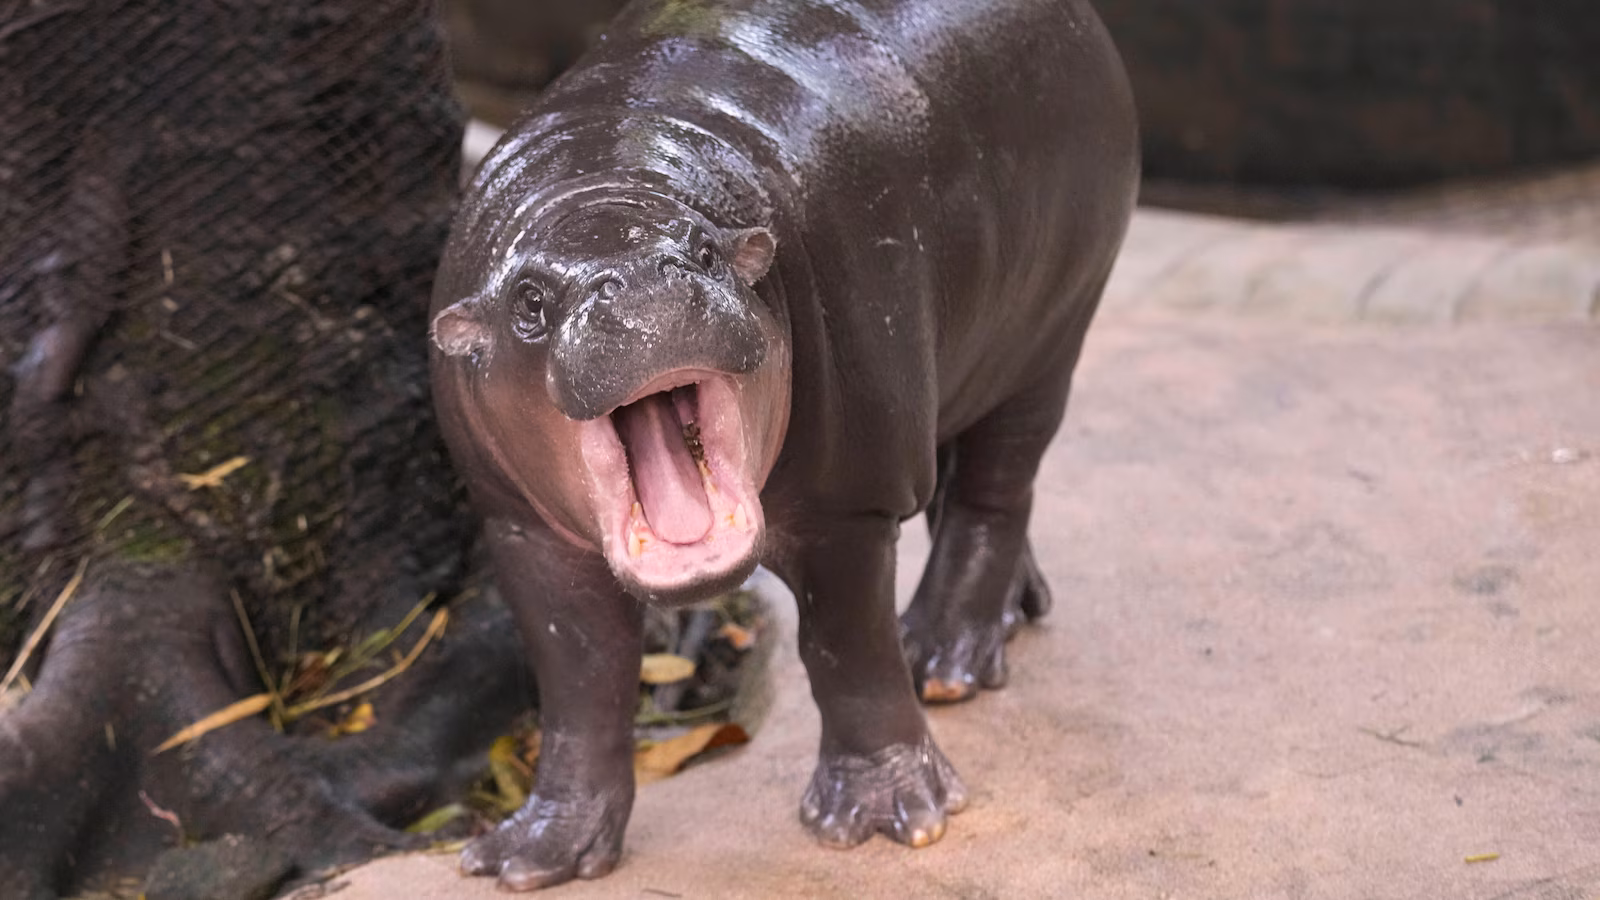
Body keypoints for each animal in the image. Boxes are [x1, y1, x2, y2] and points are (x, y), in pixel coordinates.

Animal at [429, 0, 1138, 890]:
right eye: (528, 302)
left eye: (703, 252)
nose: (644, 283)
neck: (605, 180)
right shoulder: (521, 531)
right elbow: (580, 681)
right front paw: (530, 855)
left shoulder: (850, 504)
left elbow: (844, 648)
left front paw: (889, 817)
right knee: (960, 474)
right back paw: (1006, 615)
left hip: (1051, 333)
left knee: (996, 488)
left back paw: (942, 661)